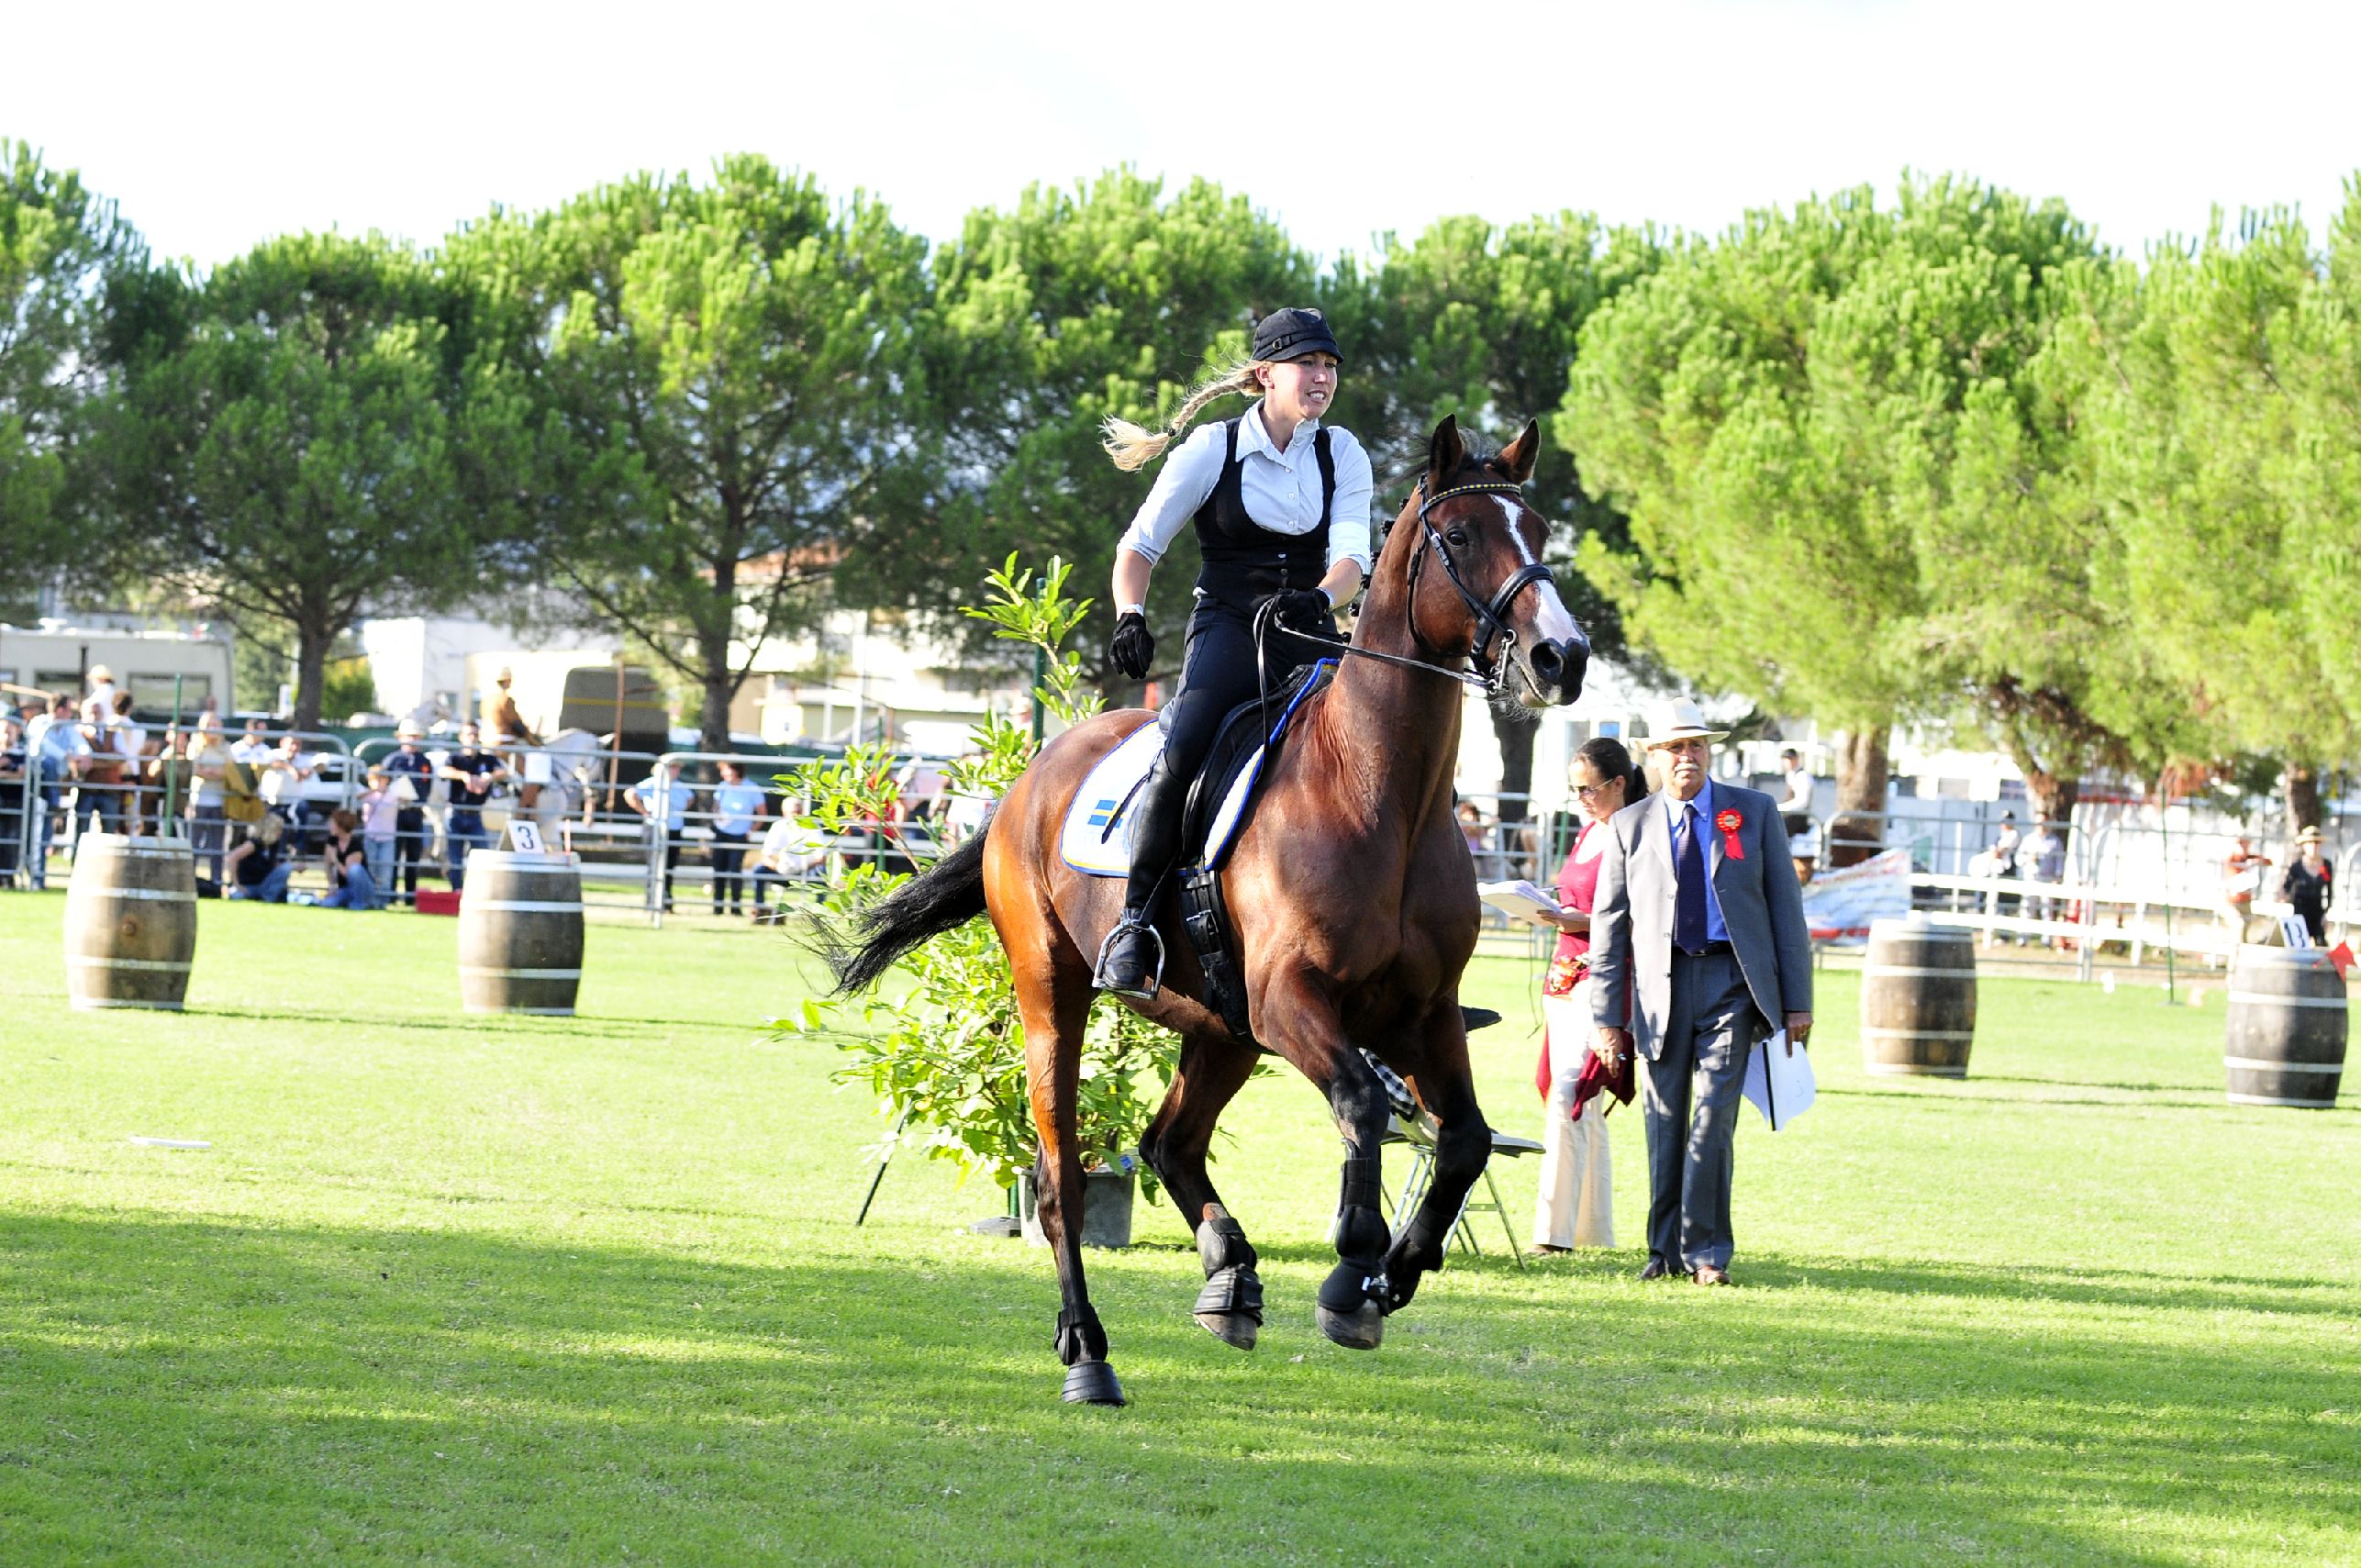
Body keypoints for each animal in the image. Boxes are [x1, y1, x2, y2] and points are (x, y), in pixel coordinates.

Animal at [826, 420, 1587, 1407]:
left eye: (1538, 530)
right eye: (1460, 536)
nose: (1561, 656)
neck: (1379, 794)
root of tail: (1029, 776)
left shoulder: (1423, 1015)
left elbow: (1462, 1140)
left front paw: (1394, 1274)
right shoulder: (1291, 999)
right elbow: (1360, 1103)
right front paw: (1351, 1273)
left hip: (1219, 1028)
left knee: (1169, 1143)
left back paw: (1230, 1275)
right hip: (1056, 994)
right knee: (1061, 1178)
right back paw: (1090, 1352)